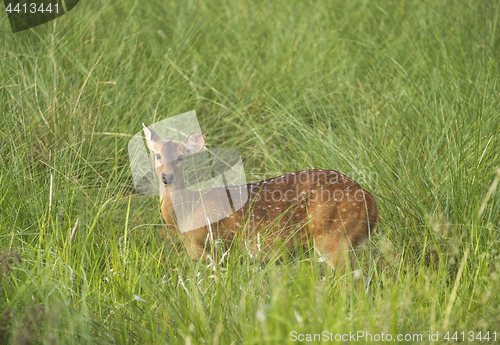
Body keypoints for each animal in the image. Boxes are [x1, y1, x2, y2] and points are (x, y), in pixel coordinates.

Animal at [142, 125, 378, 276]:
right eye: (157, 155)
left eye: (181, 157)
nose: (167, 177)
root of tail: (369, 199)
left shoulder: (217, 247)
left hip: (333, 236)